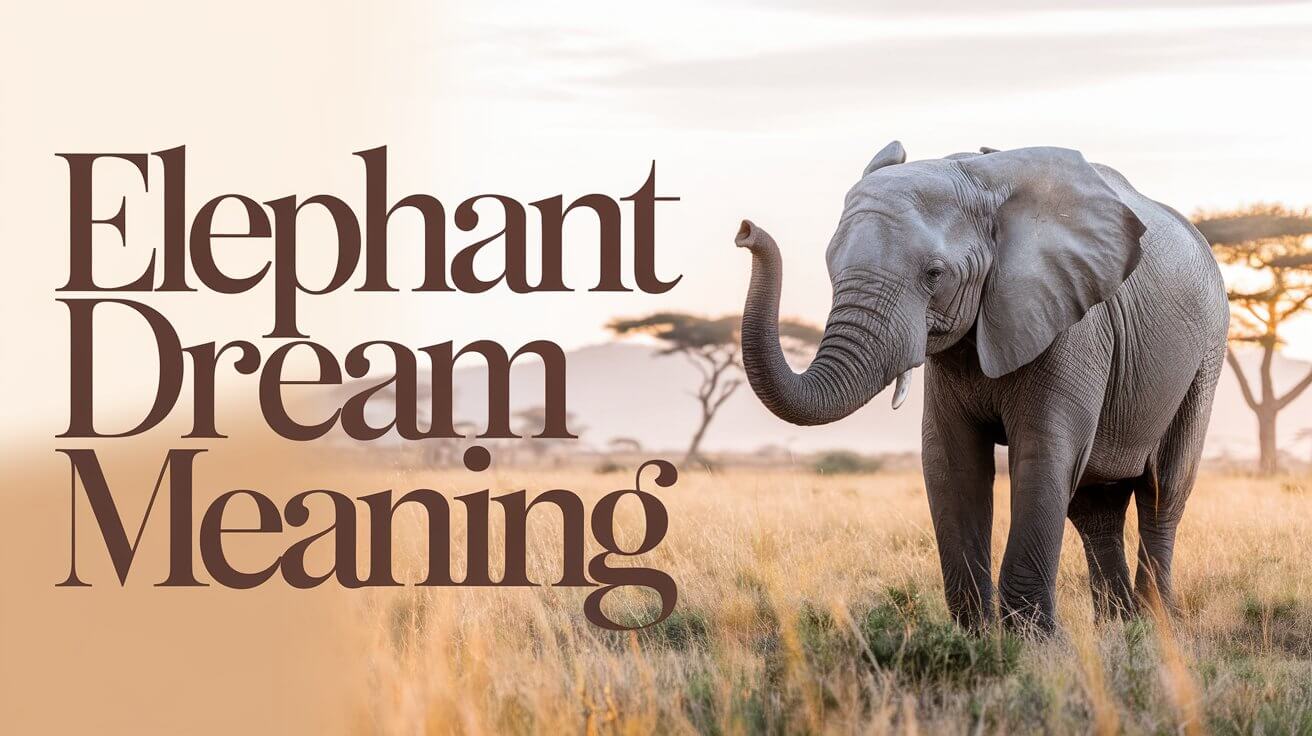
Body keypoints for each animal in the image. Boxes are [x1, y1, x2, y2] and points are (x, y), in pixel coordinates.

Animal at [735, 142, 1228, 634]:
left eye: (934, 274)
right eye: (830, 266)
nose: (745, 231)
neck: (982, 182)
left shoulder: (1074, 325)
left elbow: (1041, 453)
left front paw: (1034, 643)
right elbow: (951, 462)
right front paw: (977, 637)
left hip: (1206, 354)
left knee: (1163, 490)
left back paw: (1158, 626)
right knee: (1094, 508)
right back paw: (1118, 627)